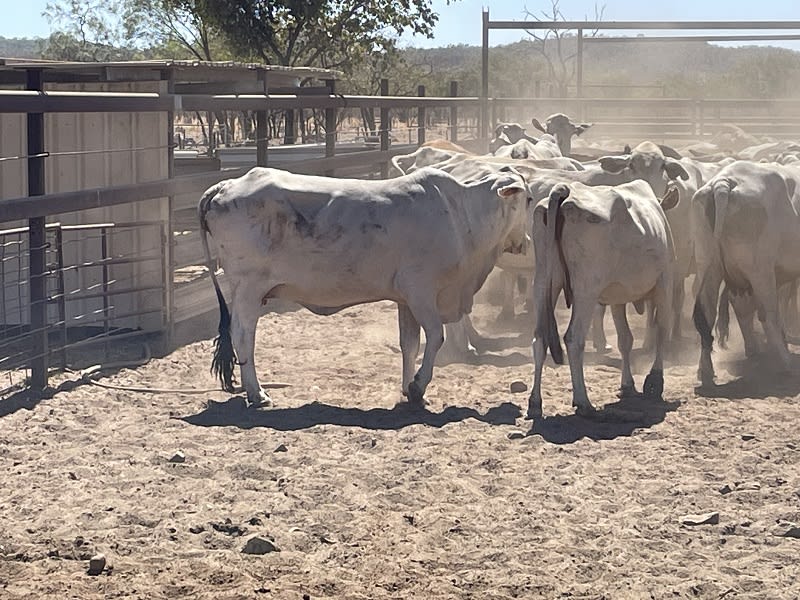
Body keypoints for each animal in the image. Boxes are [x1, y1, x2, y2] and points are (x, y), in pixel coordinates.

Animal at [198, 166, 531, 408]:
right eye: (527, 199)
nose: (526, 241)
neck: (461, 215)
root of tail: (226, 186)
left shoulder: (405, 300)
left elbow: (409, 345)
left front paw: (408, 389)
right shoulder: (421, 292)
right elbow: (436, 336)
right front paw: (417, 386)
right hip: (249, 289)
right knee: (243, 336)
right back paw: (257, 393)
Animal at [527, 180, 679, 419]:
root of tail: (564, 192)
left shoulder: (618, 297)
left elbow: (625, 339)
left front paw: (628, 384)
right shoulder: (665, 282)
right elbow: (662, 330)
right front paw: (655, 380)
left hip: (544, 284)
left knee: (539, 339)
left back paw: (535, 402)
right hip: (586, 290)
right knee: (574, 339)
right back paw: (583, 402)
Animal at [691, 161, 800, 386]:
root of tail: (724, 182)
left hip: (710, 267)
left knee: (708, 315)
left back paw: (706, 371)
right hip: (760, 271)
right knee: (768, 314)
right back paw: (785, 363)